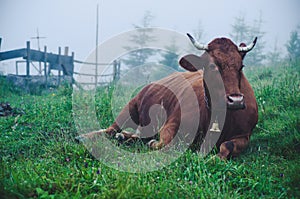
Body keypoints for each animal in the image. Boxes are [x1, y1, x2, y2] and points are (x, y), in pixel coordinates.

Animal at [77, 33, 258, 159]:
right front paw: (152, 143)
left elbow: (228, 145)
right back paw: (84, 136)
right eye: (212, 66)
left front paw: (216, 158)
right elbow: (164, 144)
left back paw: (124, 137)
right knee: (110, 130)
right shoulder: (172, 125)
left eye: (241, 66)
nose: (235, 101)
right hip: (130, 106)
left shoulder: (244, 135)